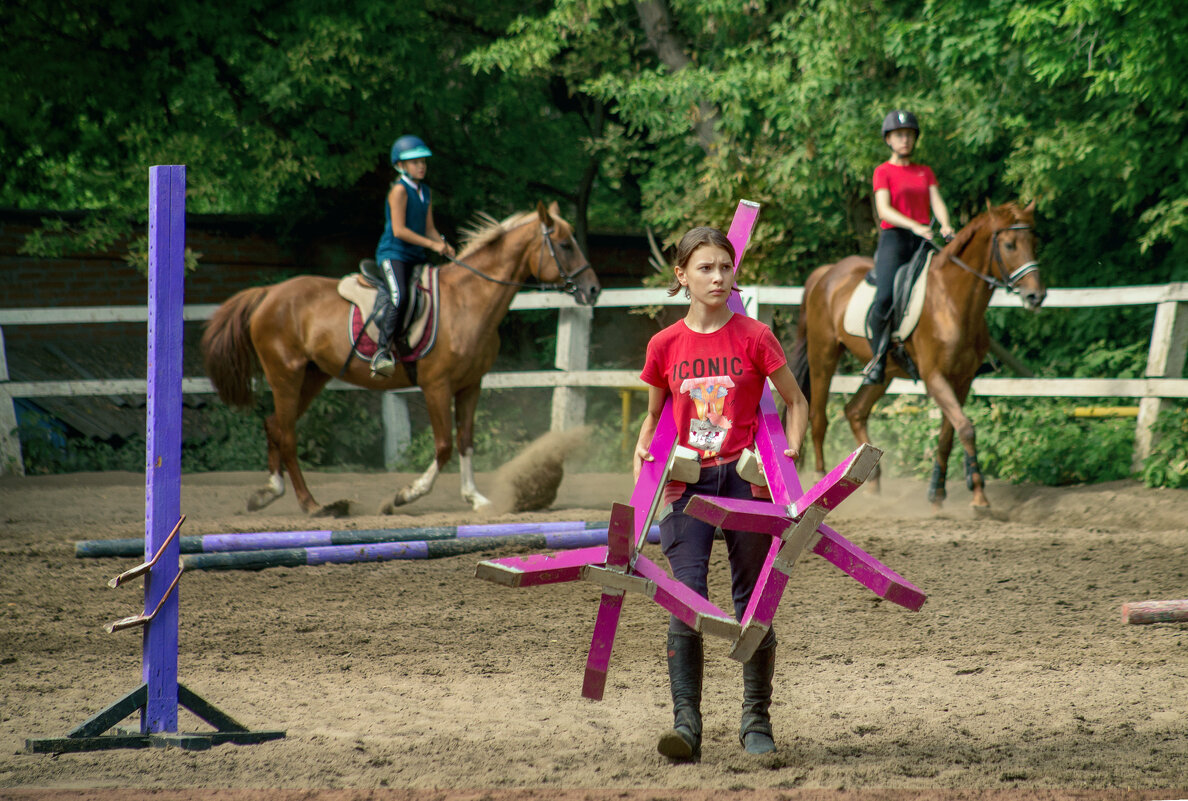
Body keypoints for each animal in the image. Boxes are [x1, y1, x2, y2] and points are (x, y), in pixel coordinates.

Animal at [200, 203, 603, 515]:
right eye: (565, 245)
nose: (593, 290)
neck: (469, 301)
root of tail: (269, 293)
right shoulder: (436, 385)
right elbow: (443, 445)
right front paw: (407, 494)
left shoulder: (471, 385)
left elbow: (466, 441)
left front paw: (476, 499)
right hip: (286, 375)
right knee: (285, 434)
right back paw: (312, 504)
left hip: (312, 376)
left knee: (273, 425)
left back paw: (269, 493)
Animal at [793, 203, 1045, 508]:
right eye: (1009, 245)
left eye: (1034, 243)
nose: (1036, 296)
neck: (952, 302)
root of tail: (827, 273)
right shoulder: (935, 377)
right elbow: (966, 428)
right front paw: (979, 497)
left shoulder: (962, 380)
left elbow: (949, 435)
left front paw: (938, 492)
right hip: (823, 356)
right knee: (818, 417)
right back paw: (819, 483)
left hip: (884, 372)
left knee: (855, 411)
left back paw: (872, 483)